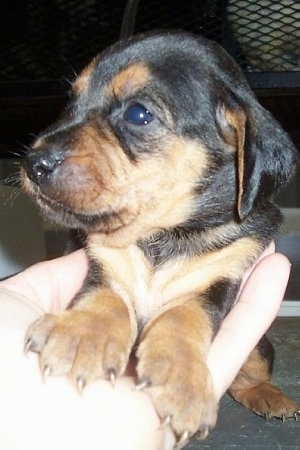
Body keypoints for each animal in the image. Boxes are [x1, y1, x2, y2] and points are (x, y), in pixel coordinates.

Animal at [21, 30, 298, 446]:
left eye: (138, 114)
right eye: (70, 102)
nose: (32, 164)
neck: (163, 235)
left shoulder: (220, 278)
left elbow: (185, 314)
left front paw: (181, 376)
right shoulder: (103, 262)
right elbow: (107, 298)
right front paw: (81, 336)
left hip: (261, 344)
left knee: (250, 374)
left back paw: (269, 396)